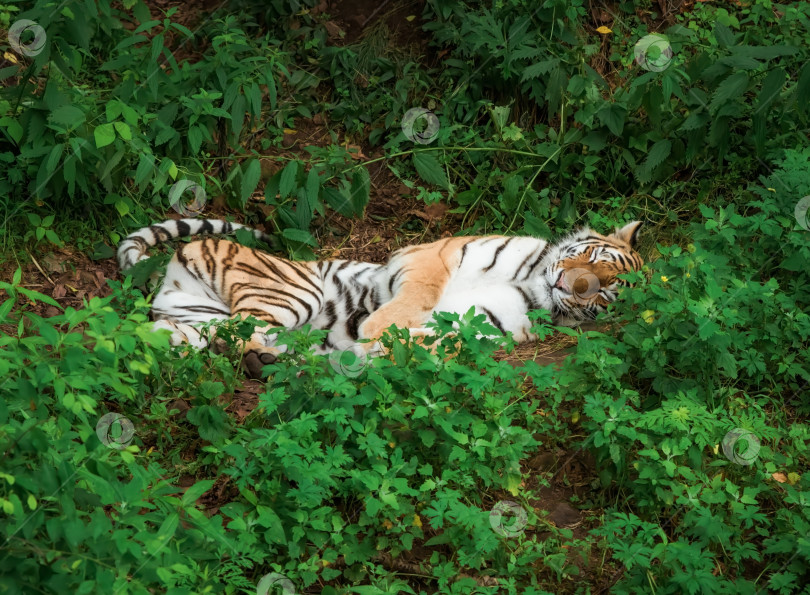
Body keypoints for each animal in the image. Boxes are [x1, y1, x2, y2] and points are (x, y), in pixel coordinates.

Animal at [115, 219, 644, 378]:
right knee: (239, 330)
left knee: (197, 336)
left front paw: (373, 348)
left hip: (186, 326)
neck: (535, 284)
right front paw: (371, 330)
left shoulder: (486, 325)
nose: (570, 286)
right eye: (592, 258)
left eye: (602, 292)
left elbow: (436, 341)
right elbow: (418, 294)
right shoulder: (433, 255)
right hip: (294, 292)